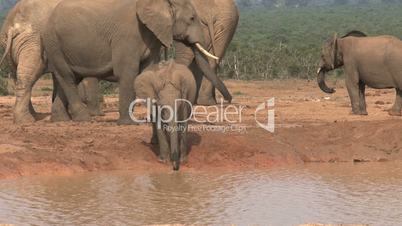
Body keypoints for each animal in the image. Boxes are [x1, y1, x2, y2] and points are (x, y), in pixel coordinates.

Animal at [42, 0, 231, 124]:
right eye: (192, 18)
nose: (229, 101)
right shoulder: (128, 35)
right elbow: (128, 72)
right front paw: (129, 123)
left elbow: (148, 70)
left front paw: (154, 120)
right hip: (54, 43)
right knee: (67, 77)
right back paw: (84, 119)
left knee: (68, 77)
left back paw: (60, 120)